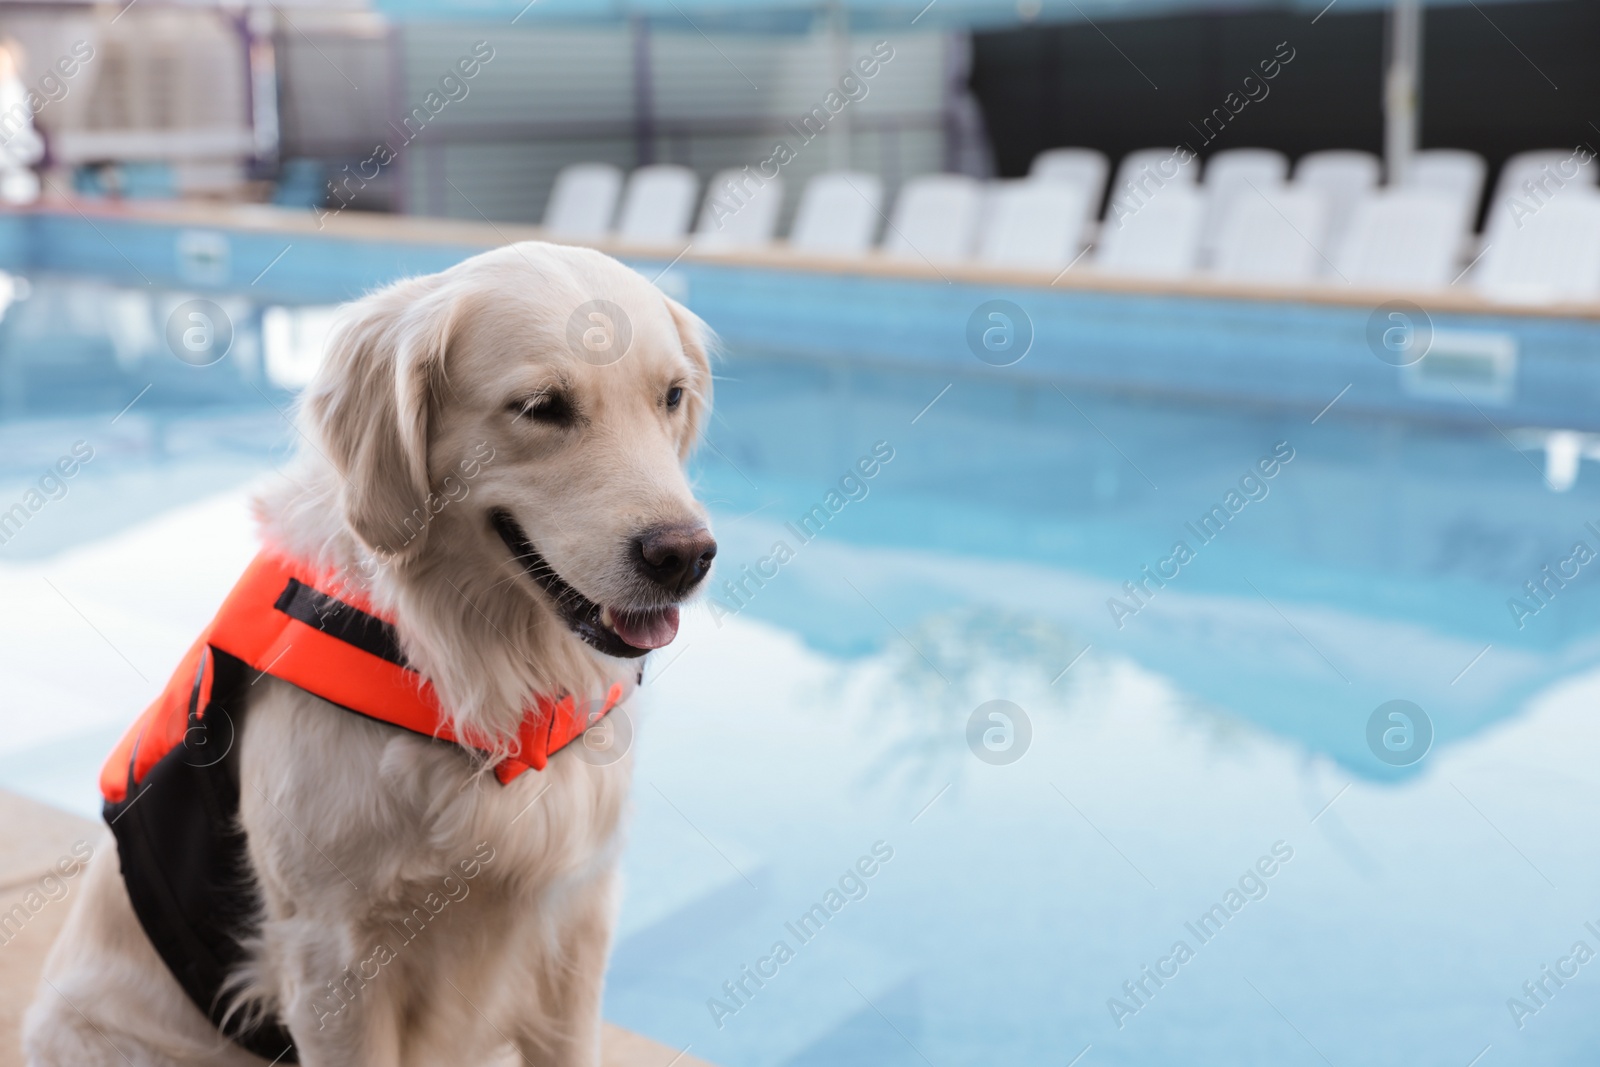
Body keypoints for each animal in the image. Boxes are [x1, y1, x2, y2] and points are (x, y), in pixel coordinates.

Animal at [20, 244, 713, 1067]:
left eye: (671, 396)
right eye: (543, 407)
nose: (687, 556)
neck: (465, 660)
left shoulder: (578, 915)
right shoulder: (335, 960)